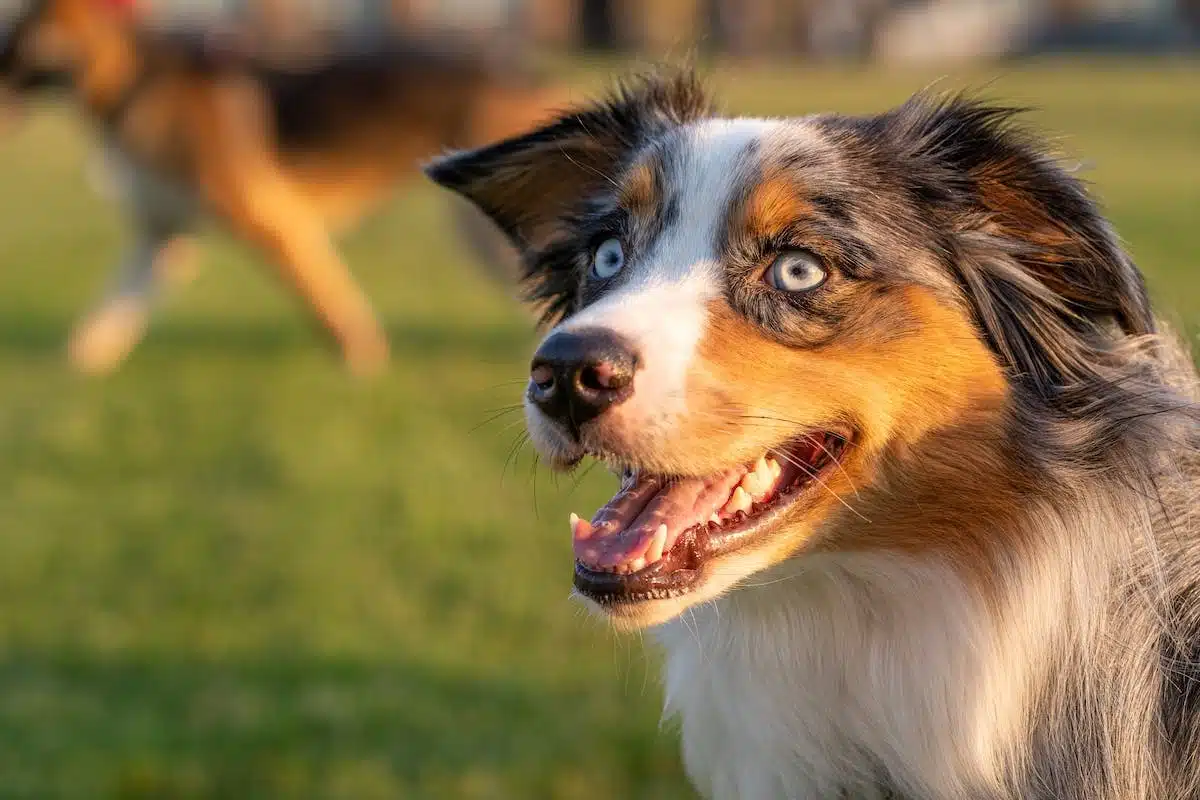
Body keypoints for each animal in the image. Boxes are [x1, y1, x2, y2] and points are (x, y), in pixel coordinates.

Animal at [0, 0, 561, 376]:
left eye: (15, 43)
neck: (131, 80)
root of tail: (529, 75)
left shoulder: (270, 222)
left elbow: (324, 300)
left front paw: (360, 363)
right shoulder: (160, 238)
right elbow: (114, 308)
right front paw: (78, 366)